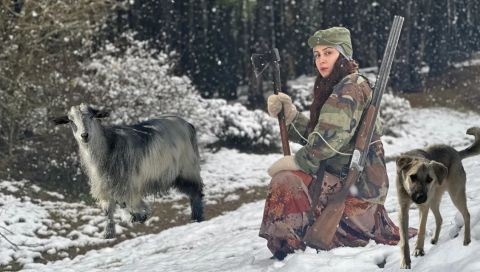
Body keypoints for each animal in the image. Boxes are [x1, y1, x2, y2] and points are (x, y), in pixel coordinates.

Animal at [52, 103, 204, 238]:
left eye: (92, 116)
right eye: (71, 120)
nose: (84, 135)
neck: (109, 147)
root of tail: (187, 124)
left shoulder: (128, 184)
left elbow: (128, 202)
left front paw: (141, 214)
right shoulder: (106, 187)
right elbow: (110, 210)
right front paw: (109, 233)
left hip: (188, 169)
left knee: (196, 193)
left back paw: (197, 218)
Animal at [396, 126, 480, 268]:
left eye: (429, 179)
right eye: (413, 177)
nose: (420, 198)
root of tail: (456, 153)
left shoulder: (424, 207)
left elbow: (421, 229)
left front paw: (418, 249)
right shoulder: (403, 209)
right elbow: (404, 240)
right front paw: (405, 261)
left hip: (455, 194)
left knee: (466, 215)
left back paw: (467, 240)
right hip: (434, 200)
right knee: (440, 219)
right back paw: (435, 239)